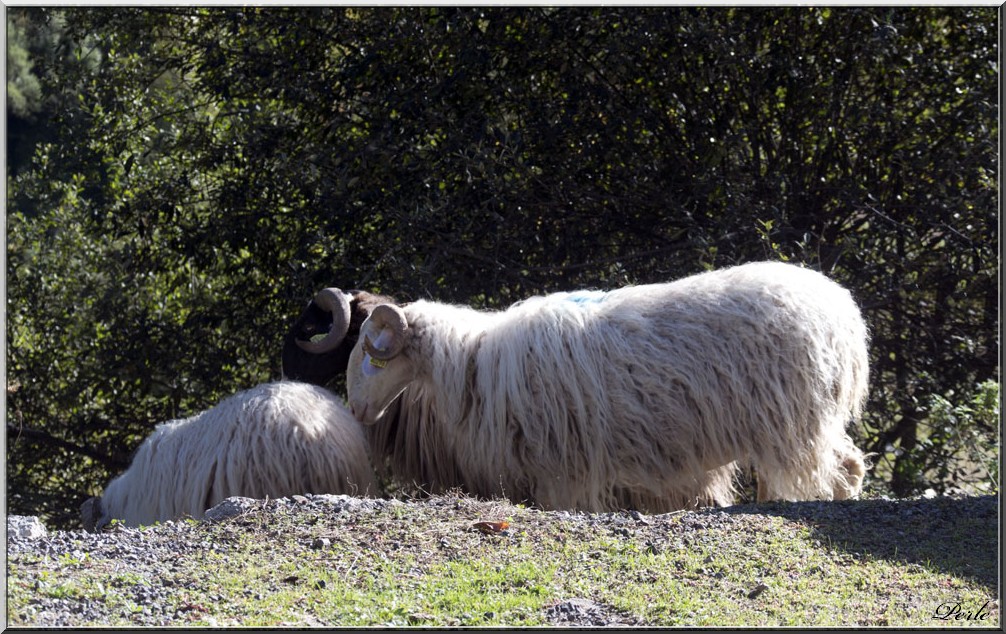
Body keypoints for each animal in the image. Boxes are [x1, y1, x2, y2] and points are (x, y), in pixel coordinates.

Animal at [342, 261, 869, 515]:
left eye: (370, 353)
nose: (359, 413)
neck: (472, 359)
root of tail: (844, 313)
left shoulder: (560, 467)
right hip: (807, 417)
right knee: (846, 465)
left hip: (794, 418)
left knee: (836, 469)